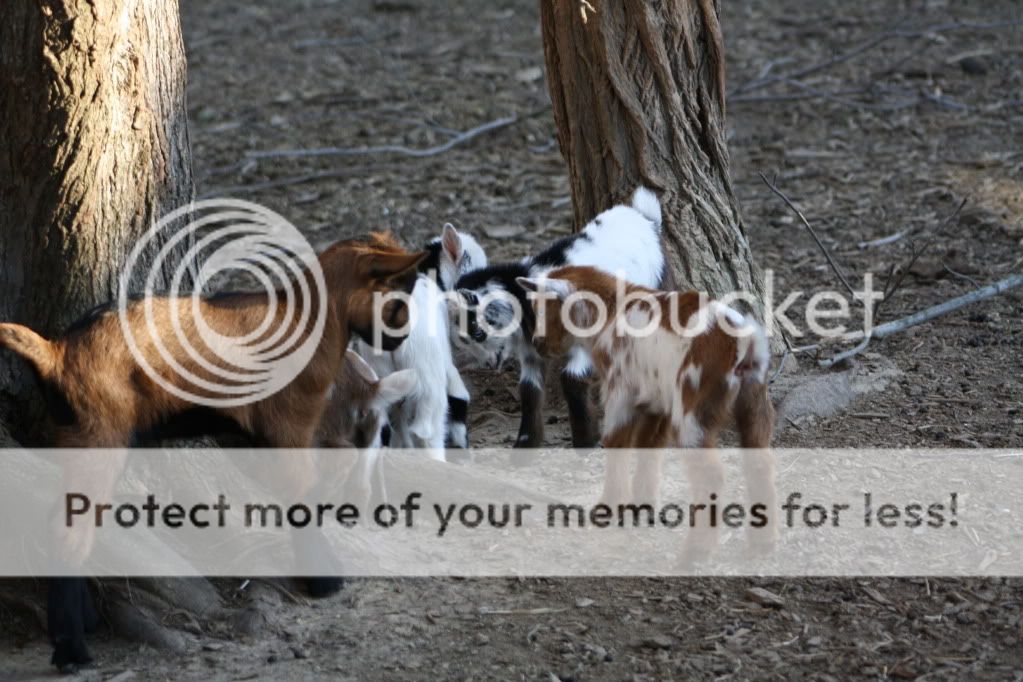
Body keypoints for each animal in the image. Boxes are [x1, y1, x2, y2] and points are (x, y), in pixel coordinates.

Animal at [0, 237, 426, 672]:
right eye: (401, 290)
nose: (401, 338)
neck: (306, 319)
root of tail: (54, 352)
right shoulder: (292, 426)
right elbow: (302, 497)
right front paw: (325, 581)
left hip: (75, 435)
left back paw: (83, 622)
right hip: (99, 433)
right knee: (69, 526)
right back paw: (72, 650)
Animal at [451, 187, 665, 449]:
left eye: (479, 332)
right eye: (465, 338)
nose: (490, 364)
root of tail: (645, 217)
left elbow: (571, 379)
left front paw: (586, 441)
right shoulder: (531, 350)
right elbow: (529, 391)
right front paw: (524, 445)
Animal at [517, 265, 777, 560]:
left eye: (544, 308)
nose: (538, 343)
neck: (610, 311)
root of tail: (744, 342)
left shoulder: (620, 389)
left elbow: (616, 442)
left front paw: (608, 507)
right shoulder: (657, 399)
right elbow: (649, 445)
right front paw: (642, 505)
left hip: (693, 405)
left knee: (710, 474)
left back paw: (694, 553)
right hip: (754, 399)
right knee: (760, 461)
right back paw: (763, 542)